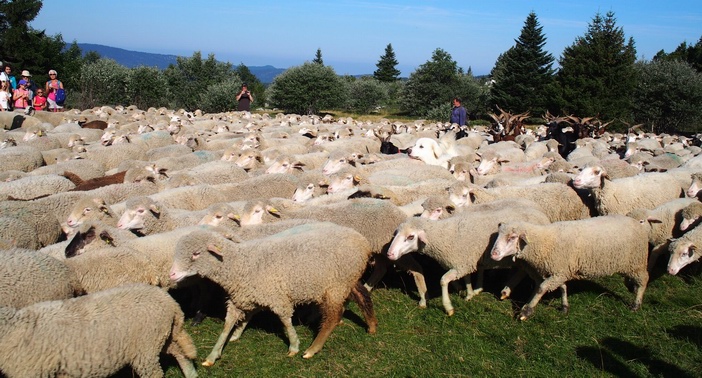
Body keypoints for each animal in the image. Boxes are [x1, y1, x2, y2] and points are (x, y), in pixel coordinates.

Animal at [0, 284, 198, 378]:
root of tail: (170, 301)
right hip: (162, 336)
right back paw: (191, 374)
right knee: (180, 352)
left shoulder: (29, 372)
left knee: (154, 372)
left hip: (146, 346)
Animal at [170, 224, 380, 364]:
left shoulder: (276, 297)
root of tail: (363, 242)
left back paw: (312, 349)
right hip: (347, 280)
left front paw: (294, 346)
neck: (241, 264)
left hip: (335, 286)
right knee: (362, 295)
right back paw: (371, 326)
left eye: (196, 253)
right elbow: (228, 325)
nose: (172, 274)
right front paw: (215, 352)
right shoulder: (242, 299)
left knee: (332, 317)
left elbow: (285, 320)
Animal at [388, 205, 552, 314]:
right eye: (395, 234)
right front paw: (470, 293)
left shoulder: (461, 263)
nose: (390, 254)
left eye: (411, 237)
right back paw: (507, 290)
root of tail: (543, 215)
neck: (445, 235)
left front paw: (448, 307)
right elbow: (466, 277)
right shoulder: (464, 262)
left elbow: (443, 280)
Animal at [492, 214, 652, 320]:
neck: (545, 242)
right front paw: (564, 307)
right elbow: (560, 287)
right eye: (498, 235)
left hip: (637, 263)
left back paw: (636, 303)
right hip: (628, 264)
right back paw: (631, 287)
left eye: (512, 237)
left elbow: (541, 288)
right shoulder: (558, 271)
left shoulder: (559, 271)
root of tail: (638, 223)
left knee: (644, 279)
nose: (493, 254)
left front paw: (527, 310)